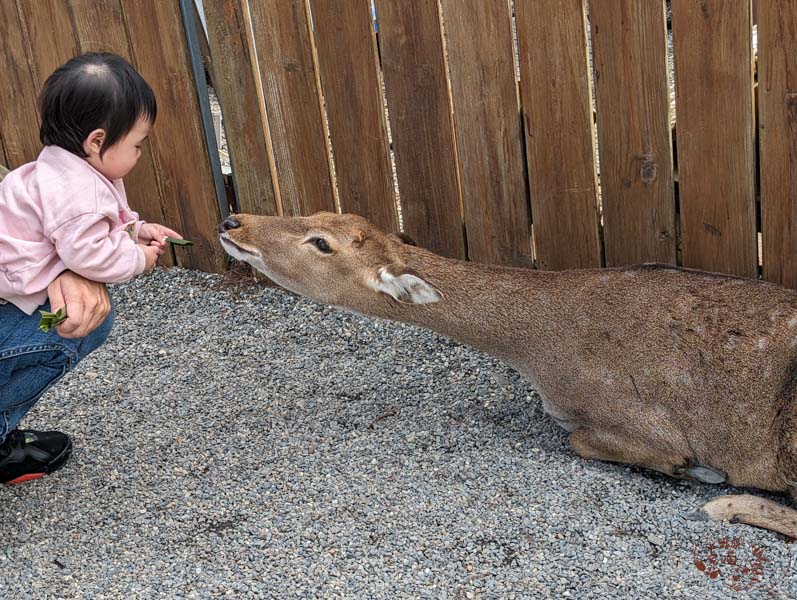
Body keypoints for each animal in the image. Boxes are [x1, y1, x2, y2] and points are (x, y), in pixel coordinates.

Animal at [221, 212, 796, 540]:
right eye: (316, 210)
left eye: (322, 243)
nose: (232, 220)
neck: (538, 350)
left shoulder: (641, 421)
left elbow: (582, 441)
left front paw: (701, 471)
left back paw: (722, 502)